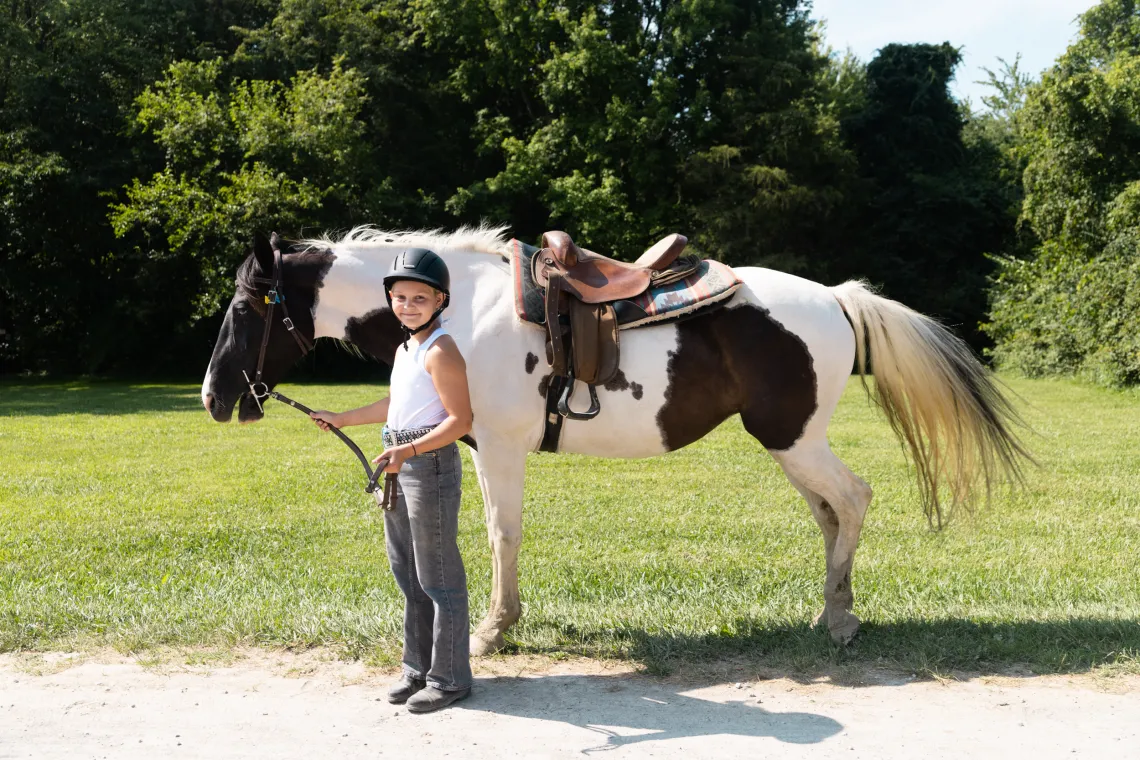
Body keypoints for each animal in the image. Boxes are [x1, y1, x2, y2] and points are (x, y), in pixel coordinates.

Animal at [200, 226, 1028, 655]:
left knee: (852, 501)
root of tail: (834, 298)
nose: (212, 396)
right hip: (791, 445)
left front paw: (493, 630)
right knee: (831, 514)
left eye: (246, 306)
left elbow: (501, 533)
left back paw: (844, 622)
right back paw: (831, 612)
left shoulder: (498, 446)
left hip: (794, 439)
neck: (460, 309)